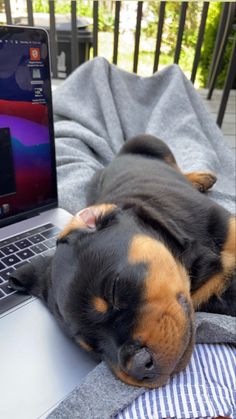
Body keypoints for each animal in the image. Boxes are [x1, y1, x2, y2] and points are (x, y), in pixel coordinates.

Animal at [9, 136, 236, 388]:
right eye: (93, 349)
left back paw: (200, 178)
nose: (138, 367)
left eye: (114, 290)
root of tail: (115, 159)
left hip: (148, 141)